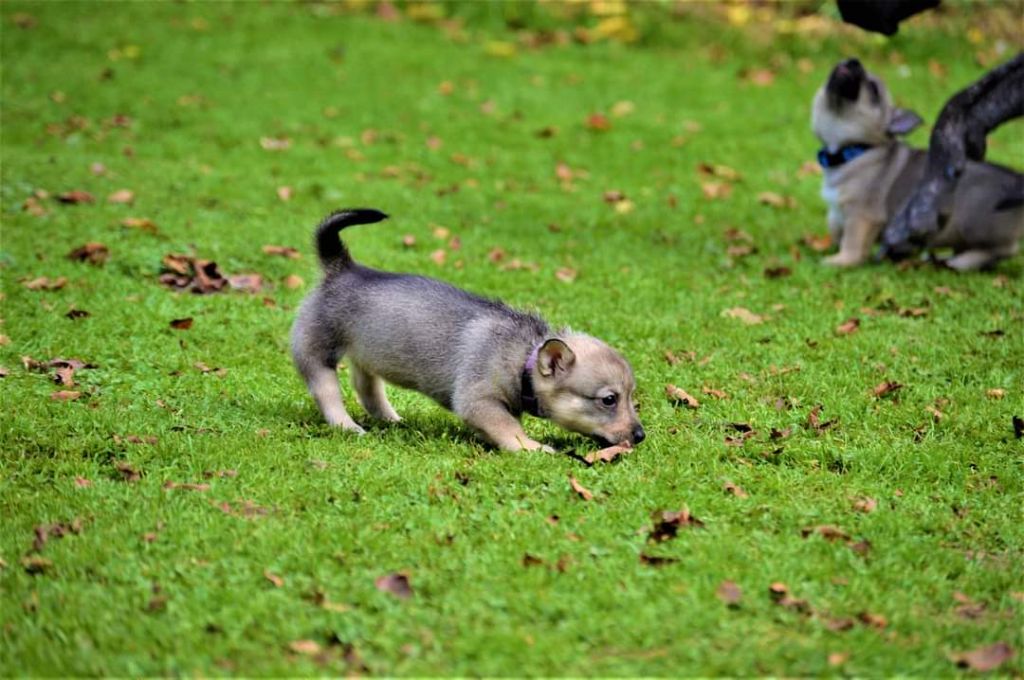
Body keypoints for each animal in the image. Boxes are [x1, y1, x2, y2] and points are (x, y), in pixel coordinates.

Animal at [291, 209, 645, 453]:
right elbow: (509, 428)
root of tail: (341, 268)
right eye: (609, 400)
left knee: (367, 387)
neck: (522, 358)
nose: (640, 435)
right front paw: (533, 448)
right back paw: (347, 426)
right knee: (328, 392)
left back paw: (391, 419)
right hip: (317, 351)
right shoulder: (479, 401)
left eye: (630, 395)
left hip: (368, 352)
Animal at [811, 58, 1023, 270]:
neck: (854, 151)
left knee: (1006, 249)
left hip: (971, 224)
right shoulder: (837, 212)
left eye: (873, 90)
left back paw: (961, 261)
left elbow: (852, 242)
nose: (853, 61)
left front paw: (840, 260)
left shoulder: (862, 217)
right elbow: (834, 226)